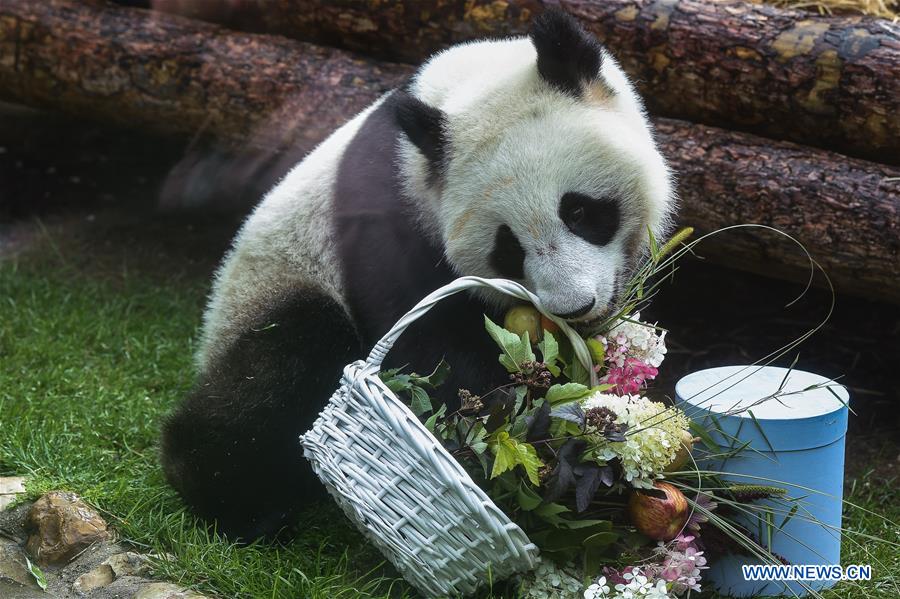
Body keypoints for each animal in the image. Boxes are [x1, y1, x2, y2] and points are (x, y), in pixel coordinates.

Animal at [160, 10, 676, 544]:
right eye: (507, 248)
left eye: (578, 211)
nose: (573, 307)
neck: (462, 88)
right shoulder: (387, 219)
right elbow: (426, 344)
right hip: (272, 285)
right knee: (285, 362)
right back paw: (235, 499)